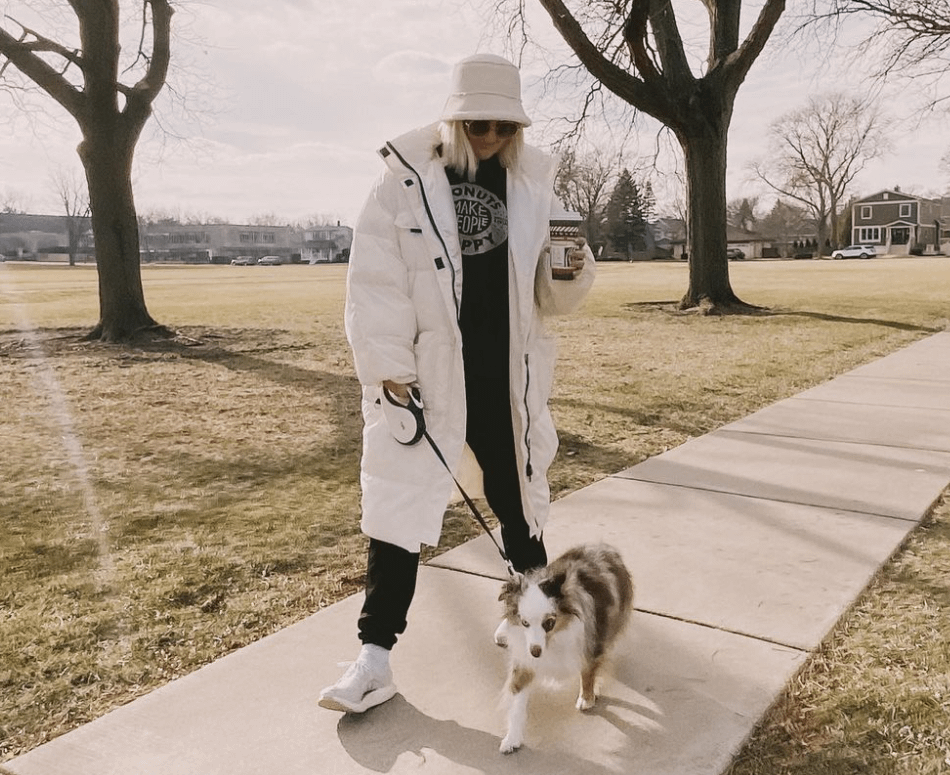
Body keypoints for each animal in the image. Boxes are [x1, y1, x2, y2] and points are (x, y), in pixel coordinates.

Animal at [494, 544, 636, 756]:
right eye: (524, 623)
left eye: (549, 622)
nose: (535, 652)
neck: (553, 639)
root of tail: (602, 547)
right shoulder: (524, 662)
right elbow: (517, 703)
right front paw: (512, 738)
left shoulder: (590, 643)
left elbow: (587, 672)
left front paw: (587, 697)